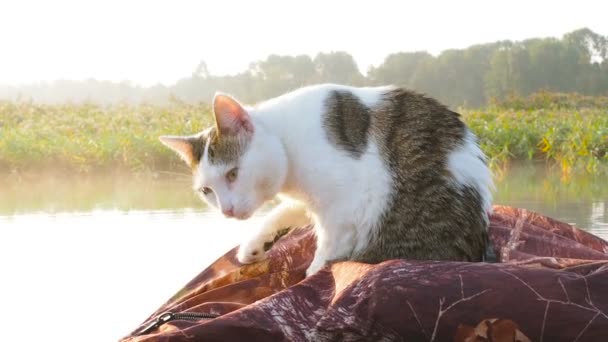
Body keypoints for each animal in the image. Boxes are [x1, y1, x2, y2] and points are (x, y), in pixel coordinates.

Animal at [160, 84, 494, 276]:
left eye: (233, 173)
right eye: (207, 191)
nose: (227, 211)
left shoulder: (345, 206)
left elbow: (327, 249)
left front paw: (312, 275)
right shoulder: (309, 201)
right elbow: (285, 212)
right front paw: (255, 244)